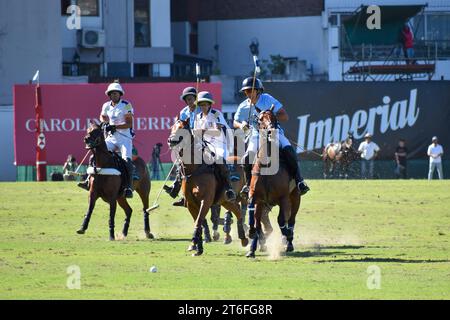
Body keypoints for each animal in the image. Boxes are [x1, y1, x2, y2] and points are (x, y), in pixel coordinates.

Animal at [168, 119, 248, 256]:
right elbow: (199, 221)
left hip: (242, 196)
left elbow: (199, 220)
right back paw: (242, 238)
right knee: (237, 211)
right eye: (172, 127)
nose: (171, 140)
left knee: (243, 210)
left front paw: (194, 242)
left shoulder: (205, 200)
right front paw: (197, 247)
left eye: (182, 128)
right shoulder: (191, 203)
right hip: (225, 200)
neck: (194, 170)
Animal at [244, 106, 300, 258]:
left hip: (295, 197)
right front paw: (251, 245)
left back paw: (289, 242)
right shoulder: (256, 198)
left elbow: (281, 220)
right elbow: (255, 222)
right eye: (260, 119)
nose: (272, 130)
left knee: (291, 219)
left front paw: (287, 235)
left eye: (274, 117)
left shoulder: (283, 197)